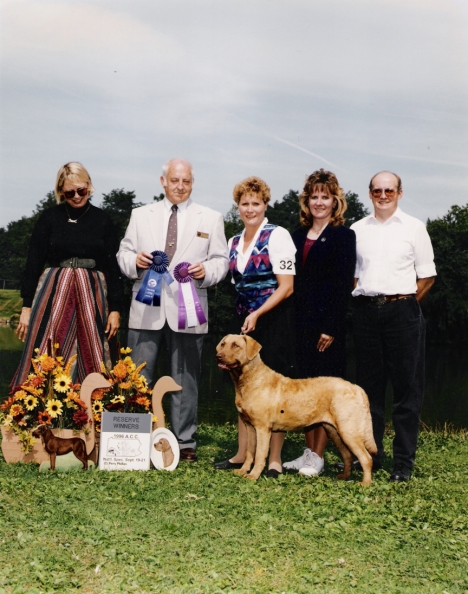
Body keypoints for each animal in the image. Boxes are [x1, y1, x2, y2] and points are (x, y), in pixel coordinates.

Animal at [216, 334, 377, 485]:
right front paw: (243, 470)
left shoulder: (262, 428)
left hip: (348, 431)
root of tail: (358, 388)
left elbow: (260, 454)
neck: (249, 379)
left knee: (366, 458)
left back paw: (365, 484)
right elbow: (249, 452)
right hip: (335, 431)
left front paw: (253, 476)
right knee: (348, 455)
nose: (218, 356)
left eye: (236, 345)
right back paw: (344, 476)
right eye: (223, 344)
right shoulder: (250, 426)